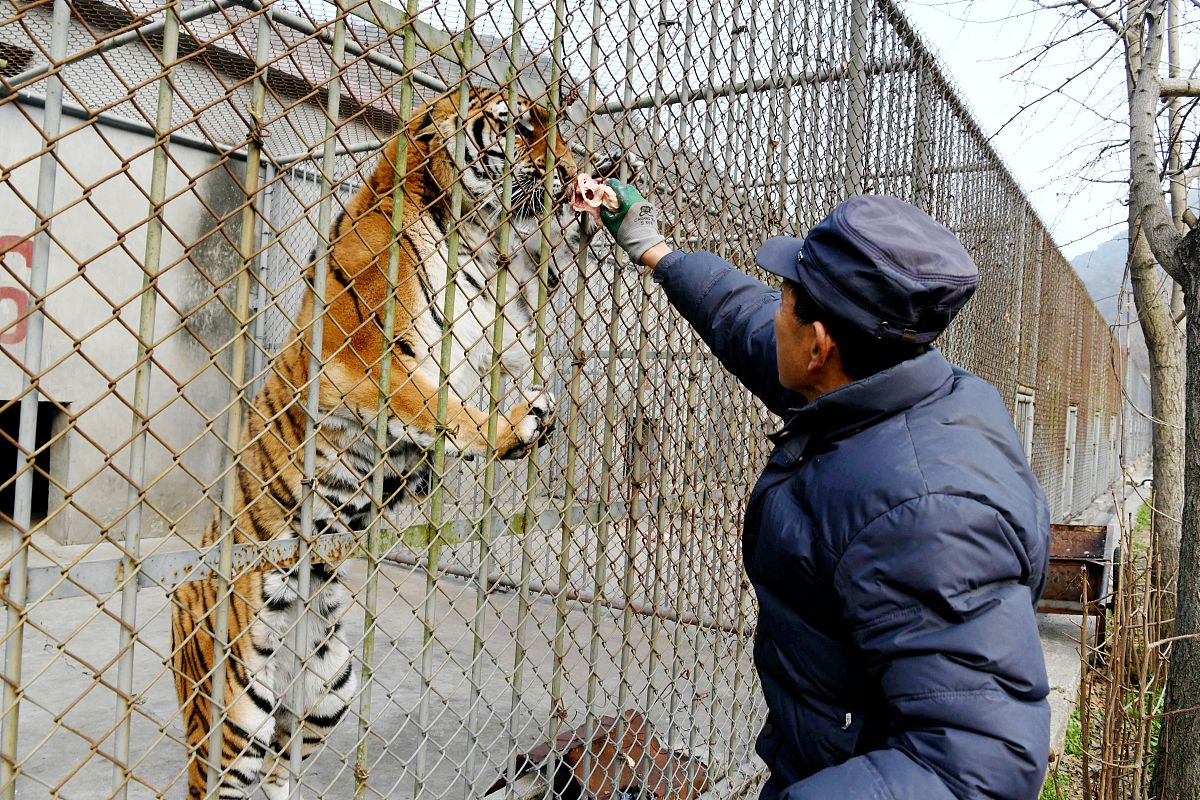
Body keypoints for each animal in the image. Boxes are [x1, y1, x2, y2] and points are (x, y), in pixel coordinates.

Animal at [169, 87, 596, 799]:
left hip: (324, 695)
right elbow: (437, 406)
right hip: (229, 721)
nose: (570, 171)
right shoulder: (363, 361)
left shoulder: (499, 324)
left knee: (281, 771)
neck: (472, 240)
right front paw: (513, 428)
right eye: (519, 126)